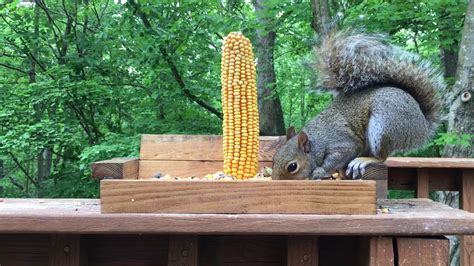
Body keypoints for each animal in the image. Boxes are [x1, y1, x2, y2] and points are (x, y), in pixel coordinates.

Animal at [270, 31, 444, 181]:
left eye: (292, 166)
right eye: (274, 158)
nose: (275, 180)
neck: (317, 142)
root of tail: (422, 126)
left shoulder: (343, 144)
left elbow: (337, 157)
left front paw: (320, 171)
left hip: (384, 125)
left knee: (381, 157)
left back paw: (363, 160)